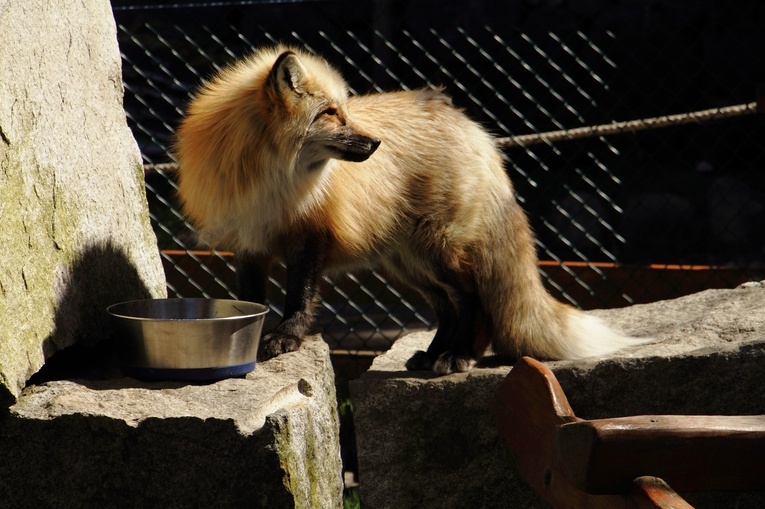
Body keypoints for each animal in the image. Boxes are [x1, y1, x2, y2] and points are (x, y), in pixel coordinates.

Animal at [175, 46, 652, 374]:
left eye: (345, 110)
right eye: (330, 113)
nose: (375, 143)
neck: (270, 180)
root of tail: (468, 123)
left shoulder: (309, 238)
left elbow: (299, 298)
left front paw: (287, 337)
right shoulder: (249, 241)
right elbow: (251, 298)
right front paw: (253, 333)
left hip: (437, 252)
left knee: (473, 301)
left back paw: (460, 356)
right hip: (408, 264)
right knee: (450, 307)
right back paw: (434, 354)